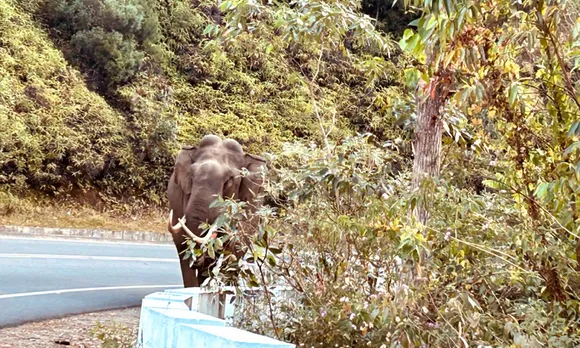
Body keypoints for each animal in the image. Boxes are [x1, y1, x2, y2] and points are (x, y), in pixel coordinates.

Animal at [167, 135, 268, 286]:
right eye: (191, 175)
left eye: (229, 181)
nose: (197, 259)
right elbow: (183, 245)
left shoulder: (252, 203)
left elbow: (236, 248)